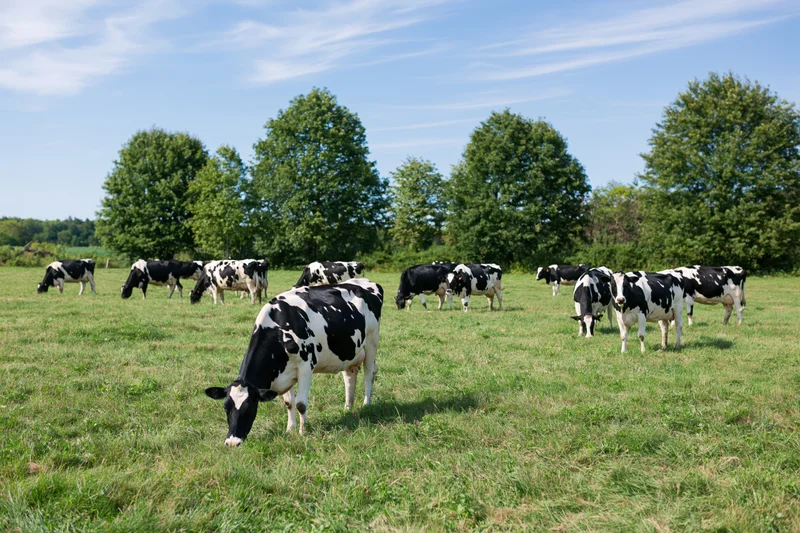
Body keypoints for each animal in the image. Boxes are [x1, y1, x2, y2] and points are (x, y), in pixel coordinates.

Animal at [204, 278, 383, 444]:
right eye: (226, 407)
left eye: (249, 408)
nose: (232, 442)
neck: (279, 328)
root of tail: (365, 282)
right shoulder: (284, 371)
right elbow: (289, 403)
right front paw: (290, 429)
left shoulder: (306, 367)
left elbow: (300, 404)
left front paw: (302, 431)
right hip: (349, 351)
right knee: (349, 377)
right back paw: (348, 407)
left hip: (372, 341)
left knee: (368, 374)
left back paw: (366, 404)